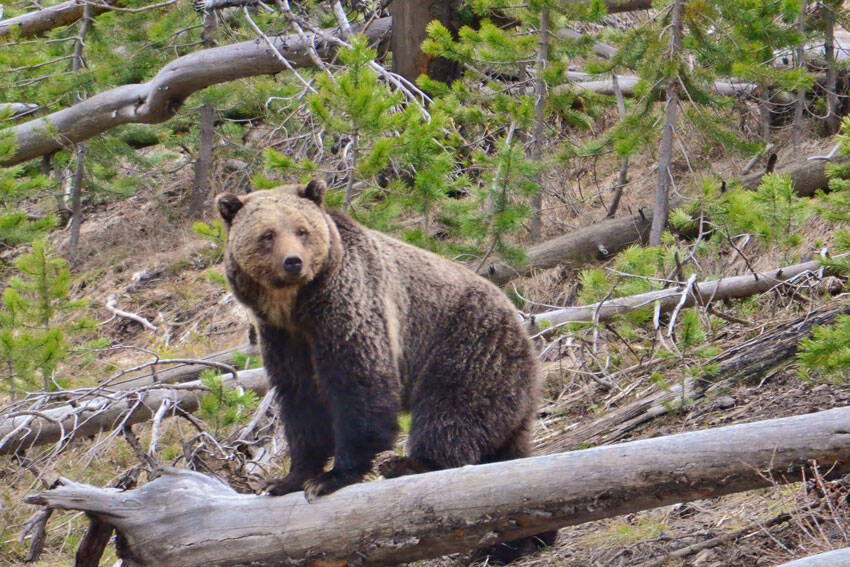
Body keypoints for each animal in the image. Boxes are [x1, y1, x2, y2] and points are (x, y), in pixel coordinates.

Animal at [215, 180, 552, 560]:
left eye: (302, 230)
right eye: (267, 234)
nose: (293, 262)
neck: (296, 307)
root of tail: (524, 330)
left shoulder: (349, 308)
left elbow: (359, 387)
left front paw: (332, 477)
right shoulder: (283, 339)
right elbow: (301, 404)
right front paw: (287, 479)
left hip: (468, 347)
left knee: (449, 414)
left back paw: (409, 465)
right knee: (505, 451)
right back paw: (518, 540)